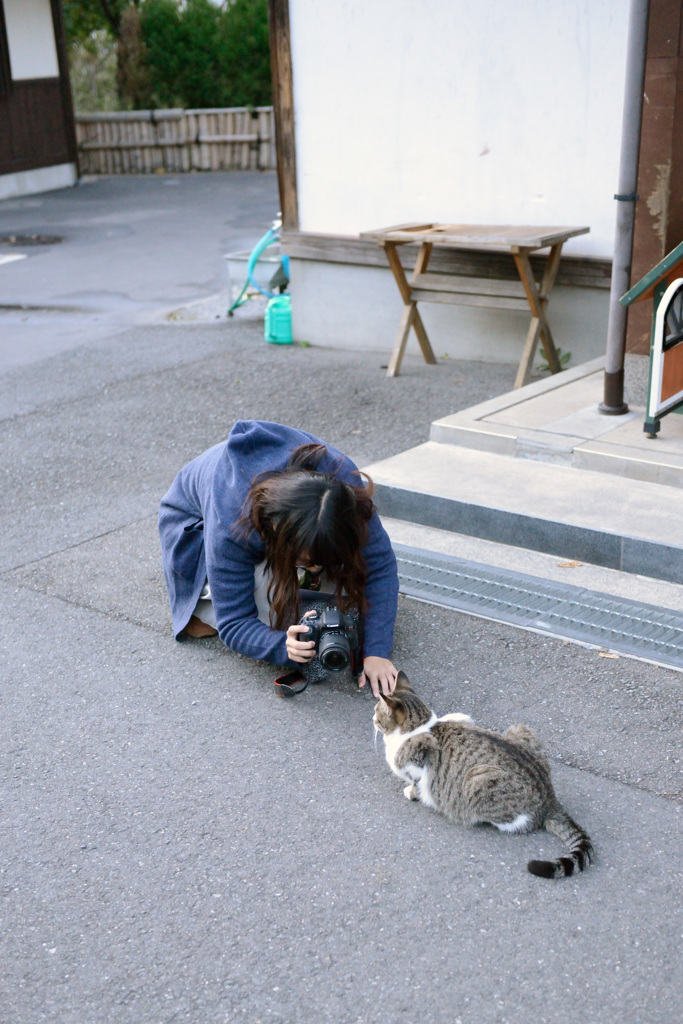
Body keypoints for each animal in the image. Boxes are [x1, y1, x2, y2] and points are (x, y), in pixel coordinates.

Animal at [374, 671, 593, 880]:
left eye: (377, 712)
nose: (372, 719)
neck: (420, 726)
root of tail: (550, 798)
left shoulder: (419, 762)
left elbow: (416, 782)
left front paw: (413, 792)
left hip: (476, 779)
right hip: (520, 730)